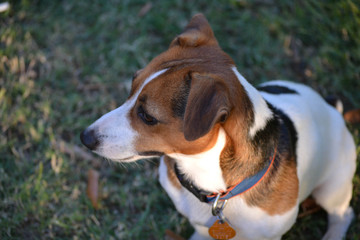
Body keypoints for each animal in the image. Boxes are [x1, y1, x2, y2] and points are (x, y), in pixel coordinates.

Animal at [80, 14, 356, 239]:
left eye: (147, 116)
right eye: (132, 85)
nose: (85, 137)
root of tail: (332, 108)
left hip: (332, 188)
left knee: (343, 214)